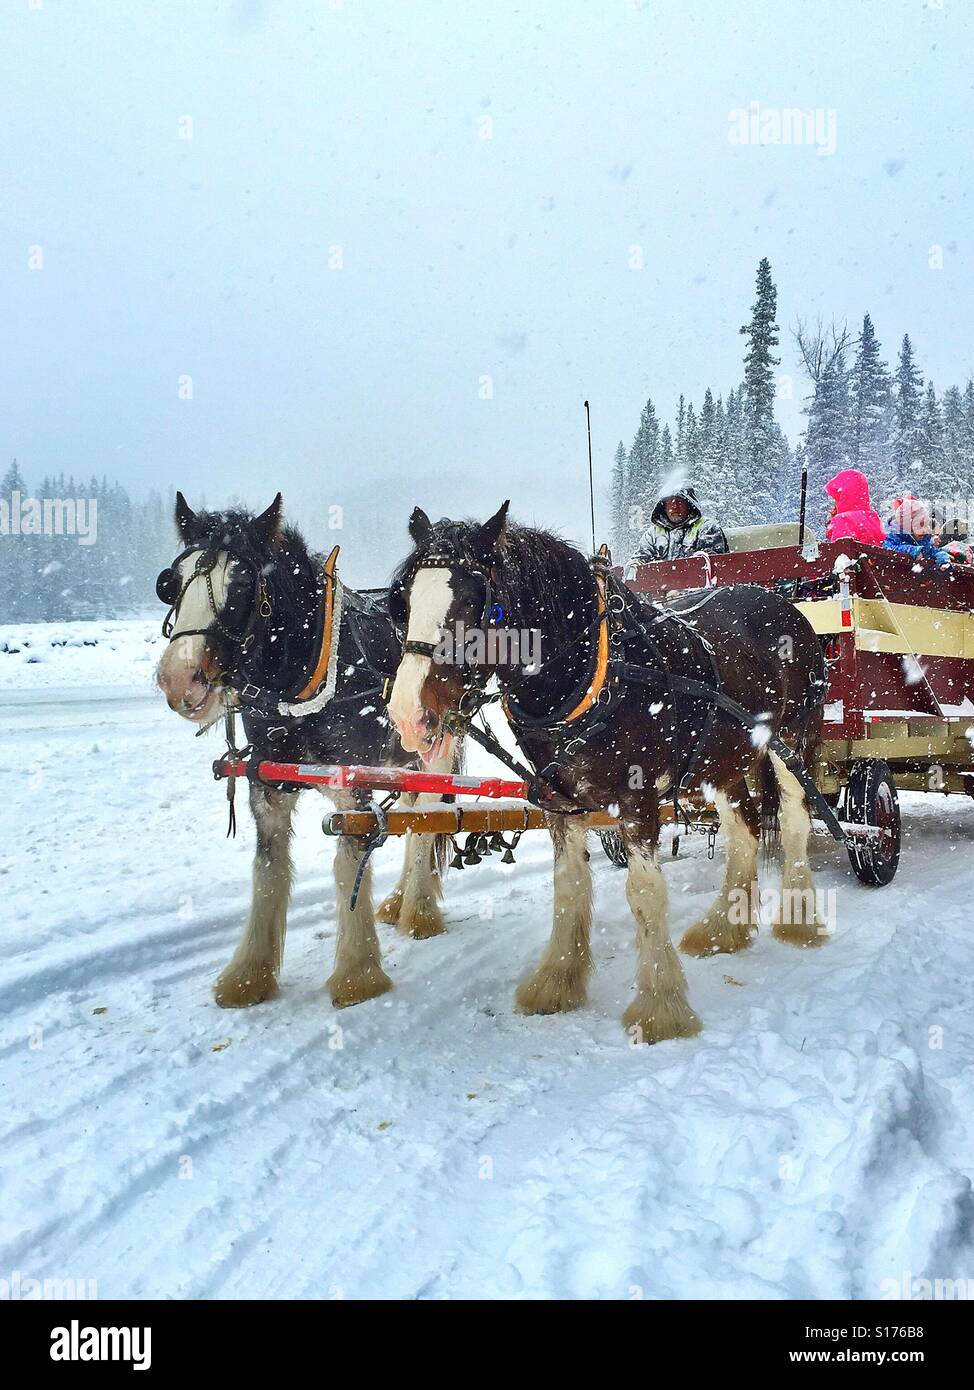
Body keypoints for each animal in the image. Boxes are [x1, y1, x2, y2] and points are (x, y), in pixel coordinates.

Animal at [155, 492, 456, 1011]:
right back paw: (400, 901)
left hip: (432, 749)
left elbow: (347, 865)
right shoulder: (266, 784)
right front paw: (249, 974)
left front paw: (357, 974)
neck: (305, 679)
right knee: (416, 814)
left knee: (426, 823)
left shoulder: (351, 785)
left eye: (242, 581)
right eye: (170, 582)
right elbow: (268, 869)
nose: (179, 678)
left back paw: (419, 911)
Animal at [385, 502, 829, 1044]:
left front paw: (661, 1006)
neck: (592, 676)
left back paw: (798, 921)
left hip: (794, 744)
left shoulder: (637, 802)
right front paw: (557, 981)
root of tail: (784, 604)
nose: (408, 714)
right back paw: (725, 928)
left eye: (476, 603)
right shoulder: (561, 802)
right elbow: (570, 887)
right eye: (404, 601)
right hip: (724, 761)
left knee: (794, 822)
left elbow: (644, 894)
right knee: (743, 828)